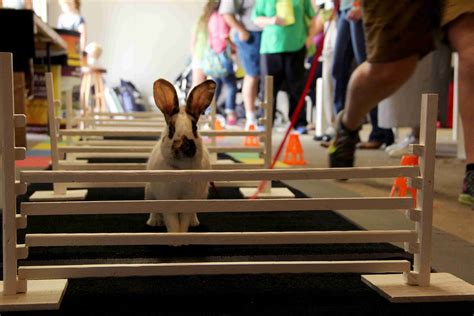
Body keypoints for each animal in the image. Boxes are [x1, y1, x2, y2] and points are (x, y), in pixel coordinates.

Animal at [146, 78, 217, 232]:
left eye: (195, 127)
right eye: (171, 129)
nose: (184, 146)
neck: (181, 170)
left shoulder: (189, 200)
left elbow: (183, 222)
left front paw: (183, 235)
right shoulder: (167, 198)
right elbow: (172, 222)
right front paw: (174, 236)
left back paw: (194, 222)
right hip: (149, 192)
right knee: (153, 209)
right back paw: (154, 222)